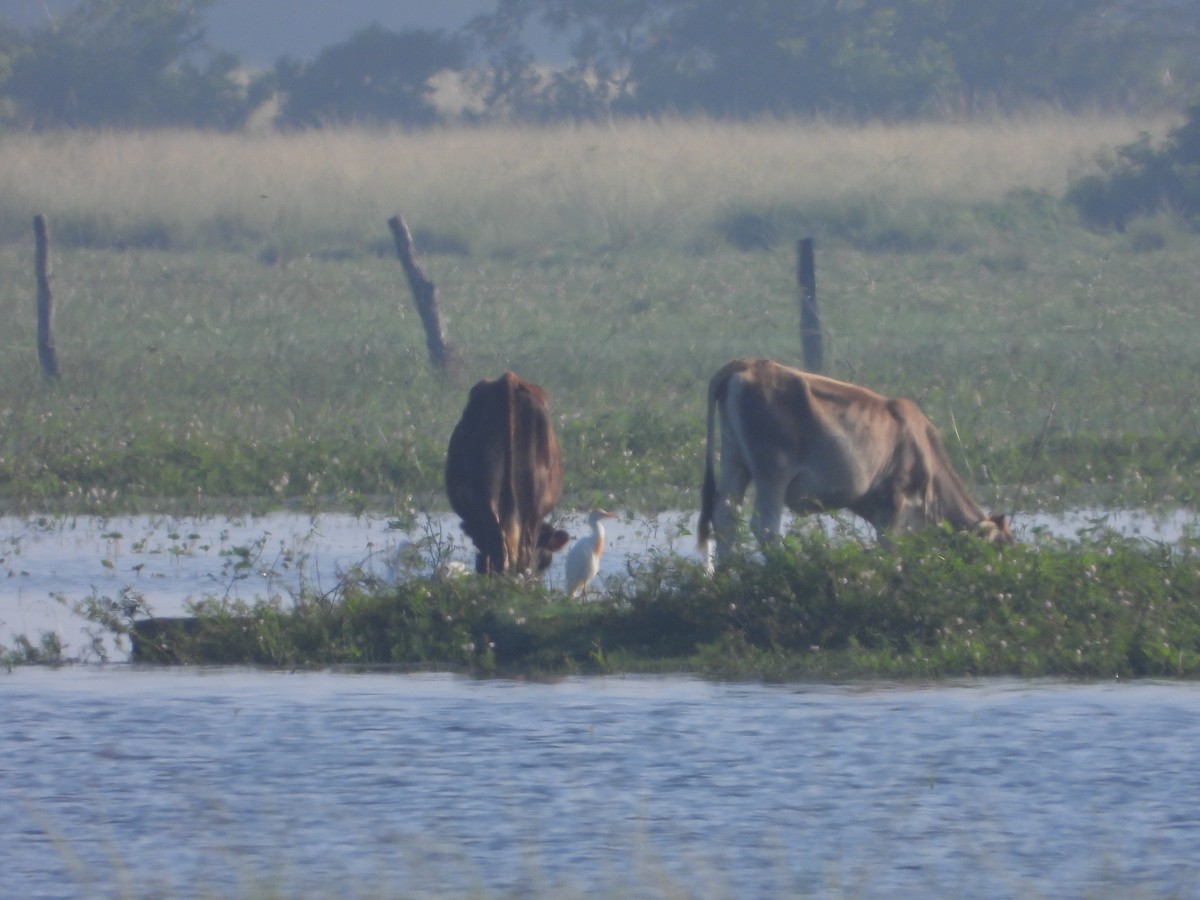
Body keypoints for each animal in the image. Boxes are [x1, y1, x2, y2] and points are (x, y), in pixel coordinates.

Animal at [700, 355, 1008, 561]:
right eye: (1000, 546)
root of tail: (746, 363)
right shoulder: (894, 498)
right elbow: (890, 547)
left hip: (734, 462)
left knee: (725, 518)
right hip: (772, 472)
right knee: (765, 528)